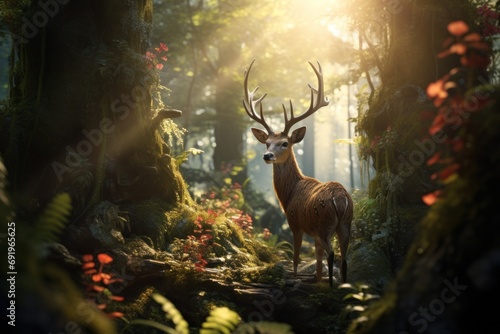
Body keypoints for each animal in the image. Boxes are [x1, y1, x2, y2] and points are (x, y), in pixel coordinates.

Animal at [241, 58, 352, 286]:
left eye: (284, 143)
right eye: (267, 142)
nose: (267, 155)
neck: (289, 193)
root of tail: (341, 200)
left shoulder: (295, 222)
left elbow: (296, 258)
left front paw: (293, 278)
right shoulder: (313, 233)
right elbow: (317, 261)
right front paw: (316, 280)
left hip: (324, 223)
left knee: (332, 254)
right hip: (346, 223)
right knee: (345, 258)